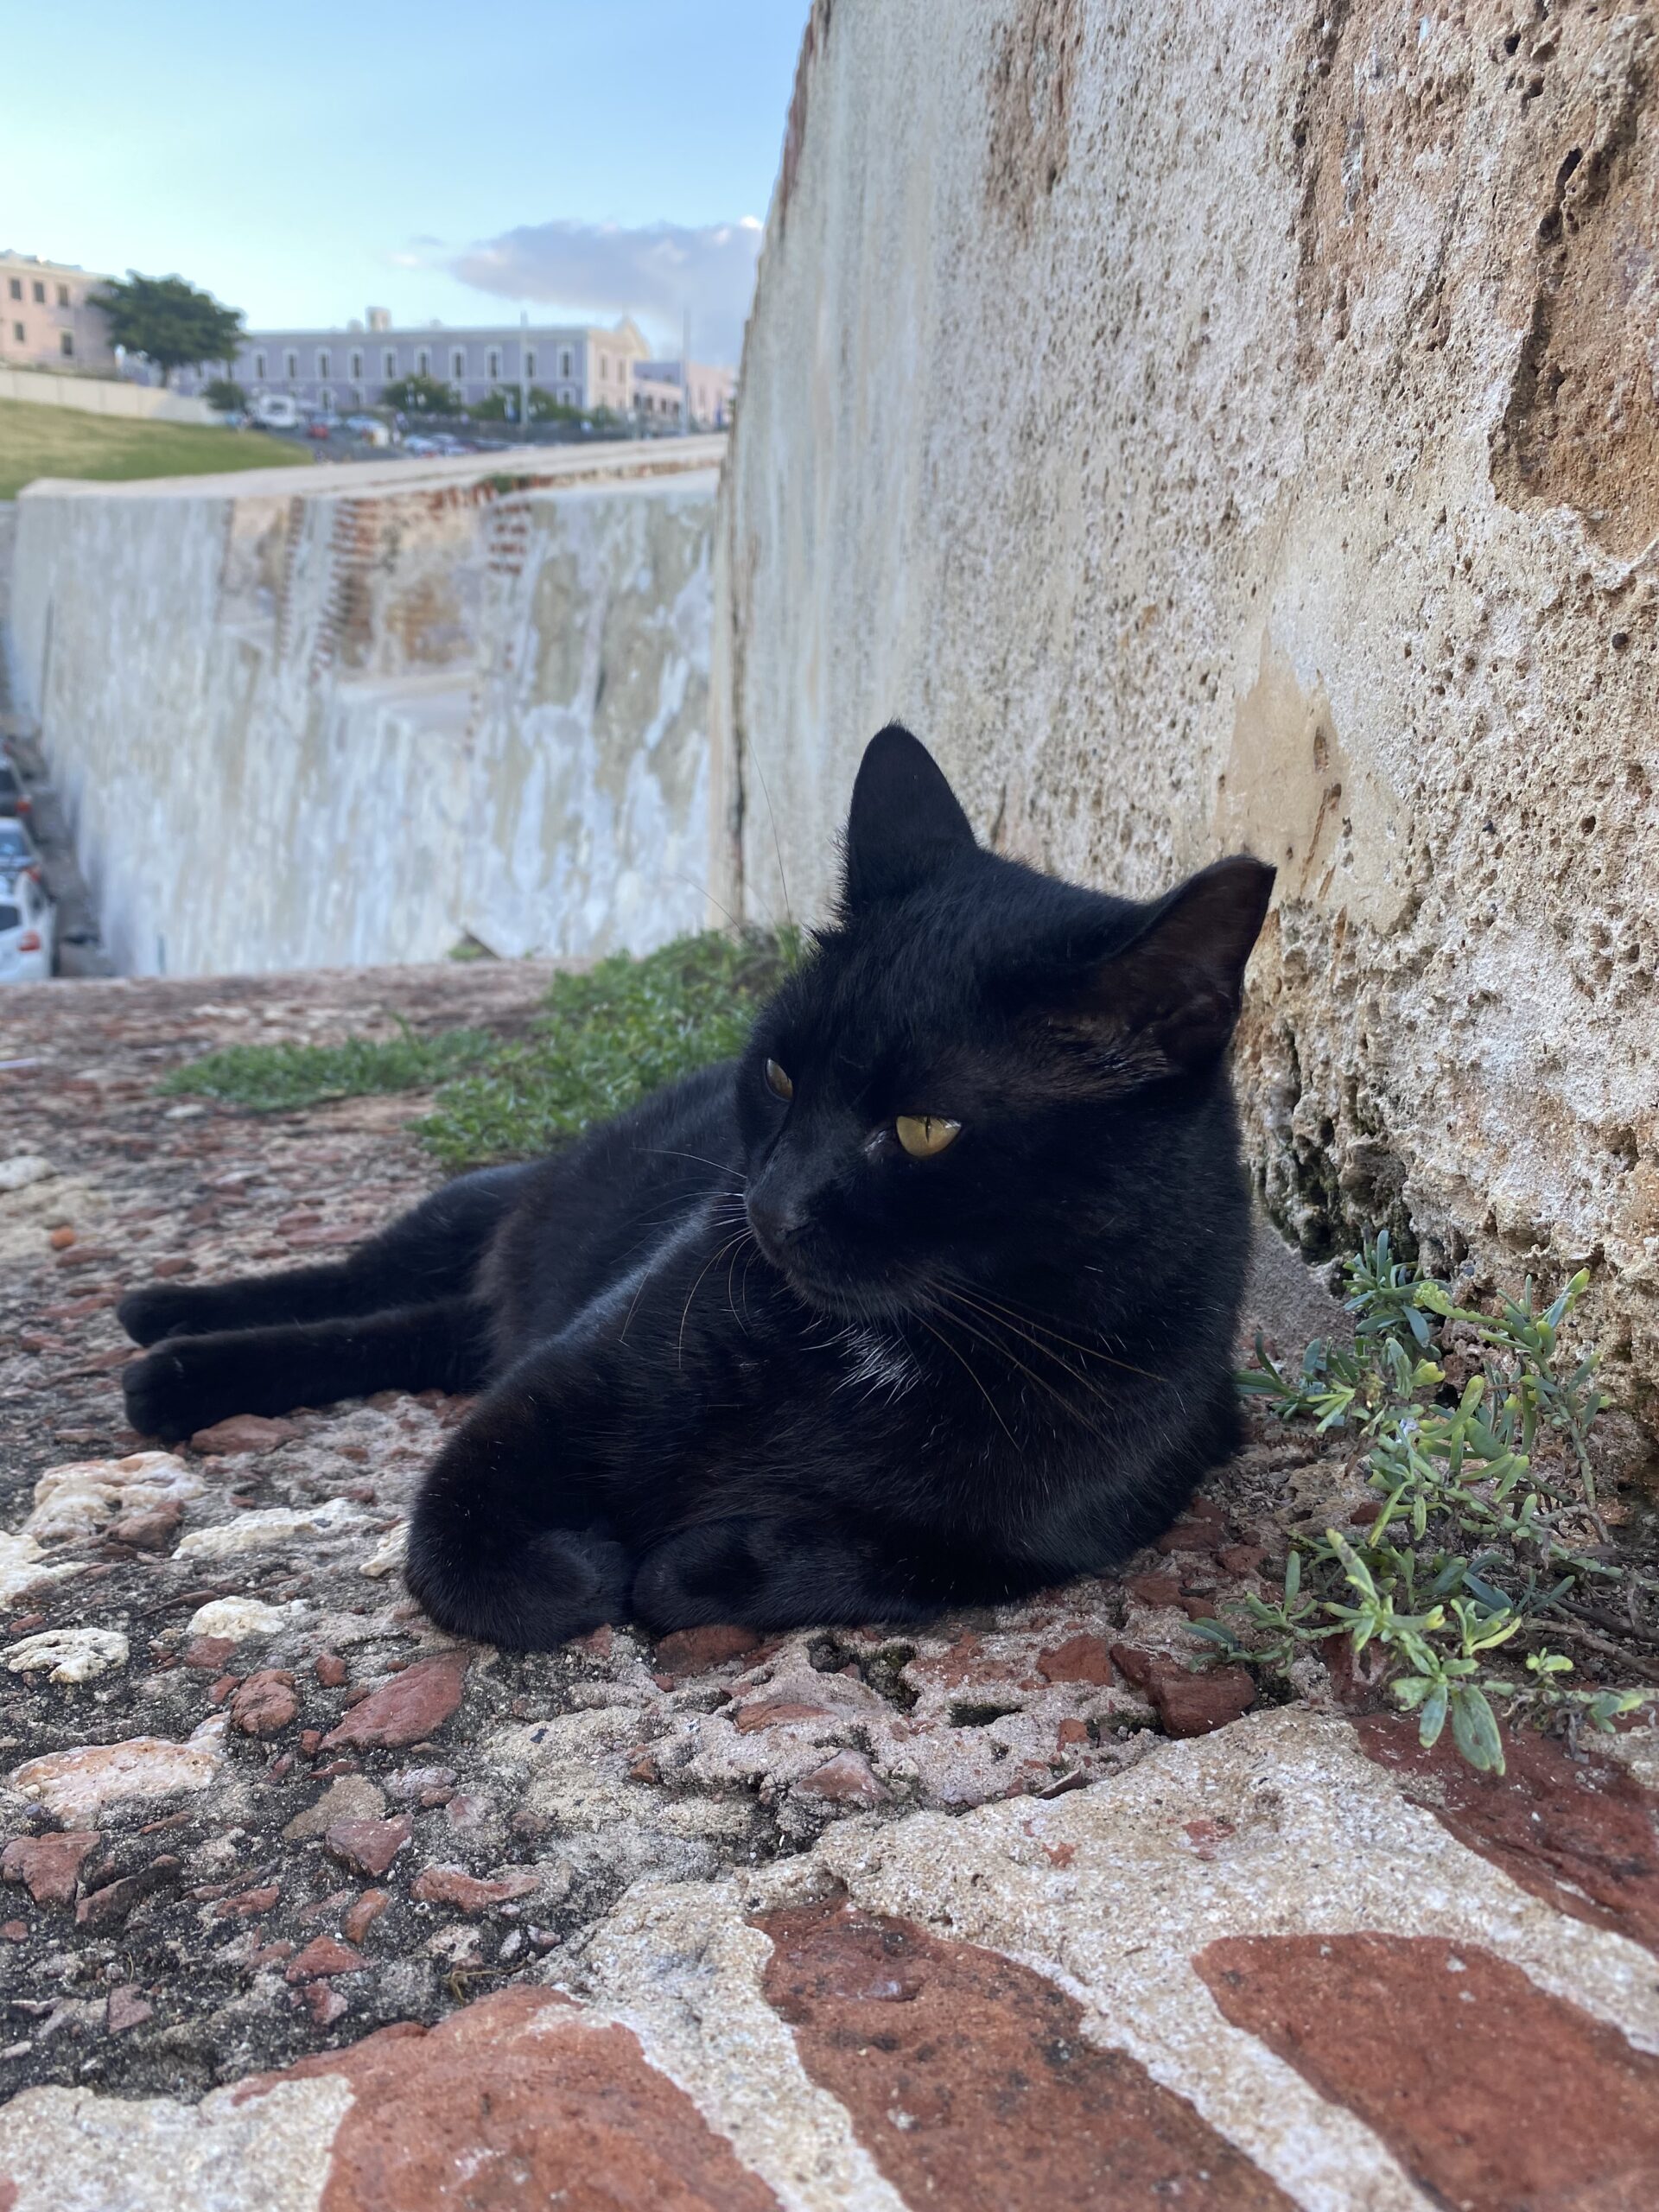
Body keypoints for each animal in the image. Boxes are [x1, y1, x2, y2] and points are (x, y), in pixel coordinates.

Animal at [123, 725, 1282, 1645]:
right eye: (779, 1073)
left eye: (923, 1130)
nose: (769, 1207)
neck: (892, 1352)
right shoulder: (563, 1379)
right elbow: (456, 1526)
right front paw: (580, 1565)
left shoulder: (1046, 1532)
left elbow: (850, 1557)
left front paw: (696, 1555)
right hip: (488, 1211)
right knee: (361, 1285)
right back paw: (161, 1329)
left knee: (409, 1332)